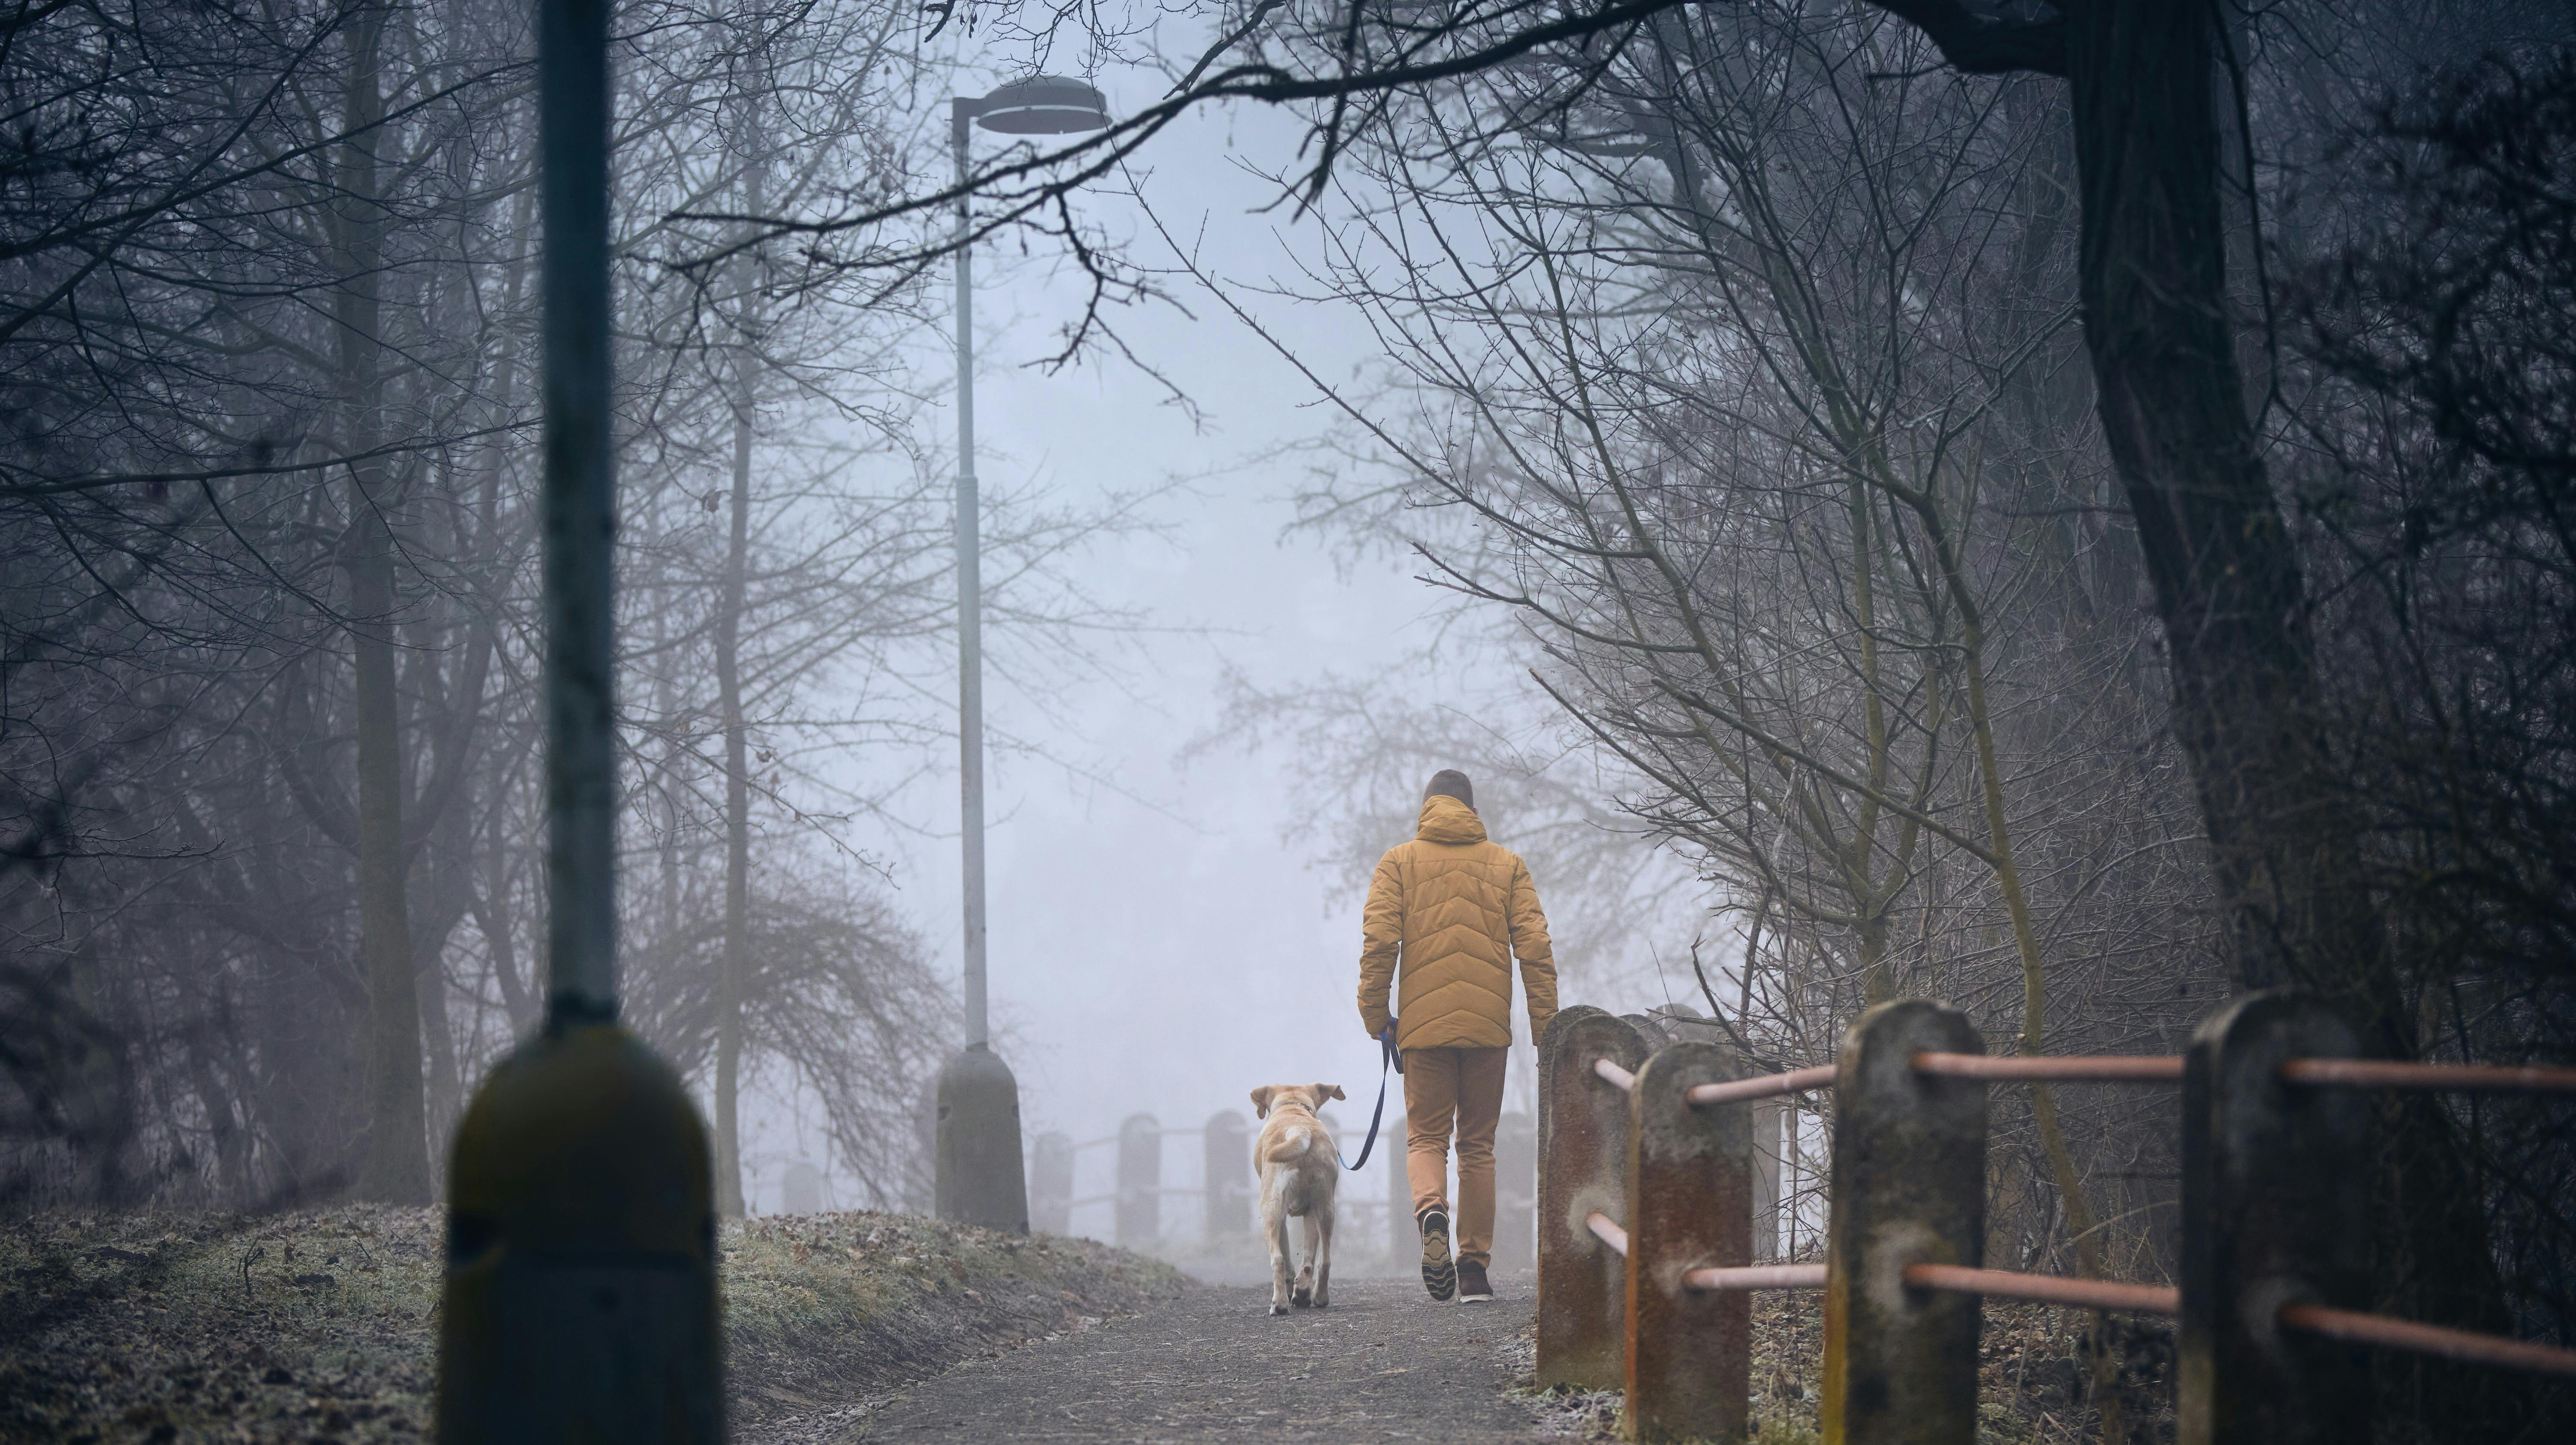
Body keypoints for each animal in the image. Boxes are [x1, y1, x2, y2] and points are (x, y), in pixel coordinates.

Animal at [1247, 1082, 1350, 1308]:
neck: (1293, 1108)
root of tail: (1300, 1130)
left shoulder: (1280, 1217)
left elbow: (1285, 1255)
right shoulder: (1311, 1212)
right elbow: (1309, 1257)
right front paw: (1302, 1291)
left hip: (1269, 1211)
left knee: (1278, 1259)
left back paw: (1279, 1304)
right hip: (1325, 1208)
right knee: (1323, 1261)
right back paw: (1318, 1296)